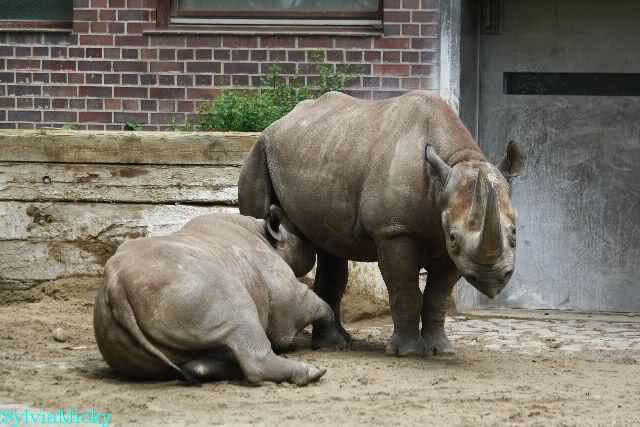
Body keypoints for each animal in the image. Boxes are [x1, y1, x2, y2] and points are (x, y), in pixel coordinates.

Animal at [93, 208, 333, 386]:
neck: (265, 236)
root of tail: (116, 286)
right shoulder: (282, 292)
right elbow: (314, 306)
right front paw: (334, 339)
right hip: (192, 282)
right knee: (239, 313)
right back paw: (313, 373)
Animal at [238, 91, 525, 356]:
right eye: (453, 236)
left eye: (514, 233)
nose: (492, 279)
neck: (454, 165)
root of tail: (279, 122)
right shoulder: (393, 231)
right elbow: (404, 289)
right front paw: (408, 353)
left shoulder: (453, 248)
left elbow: (438, 296)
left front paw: (440, 350)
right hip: (258, 154)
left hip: (325, 148)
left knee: (330, 245)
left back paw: (336, 343)